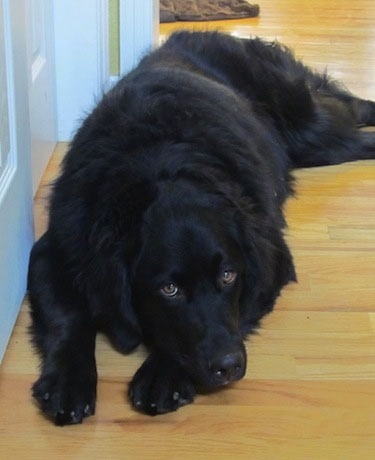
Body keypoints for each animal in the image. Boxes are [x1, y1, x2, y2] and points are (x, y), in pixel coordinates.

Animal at [27, 31, 375, 424]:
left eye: (228, 275)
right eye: (169, 289)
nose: (228, 366)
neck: (158, 163)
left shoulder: (272, 258)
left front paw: (163, 372)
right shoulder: (57, 246)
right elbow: (67, 317)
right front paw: (67, 380)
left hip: (310, 127)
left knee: (348, 112)